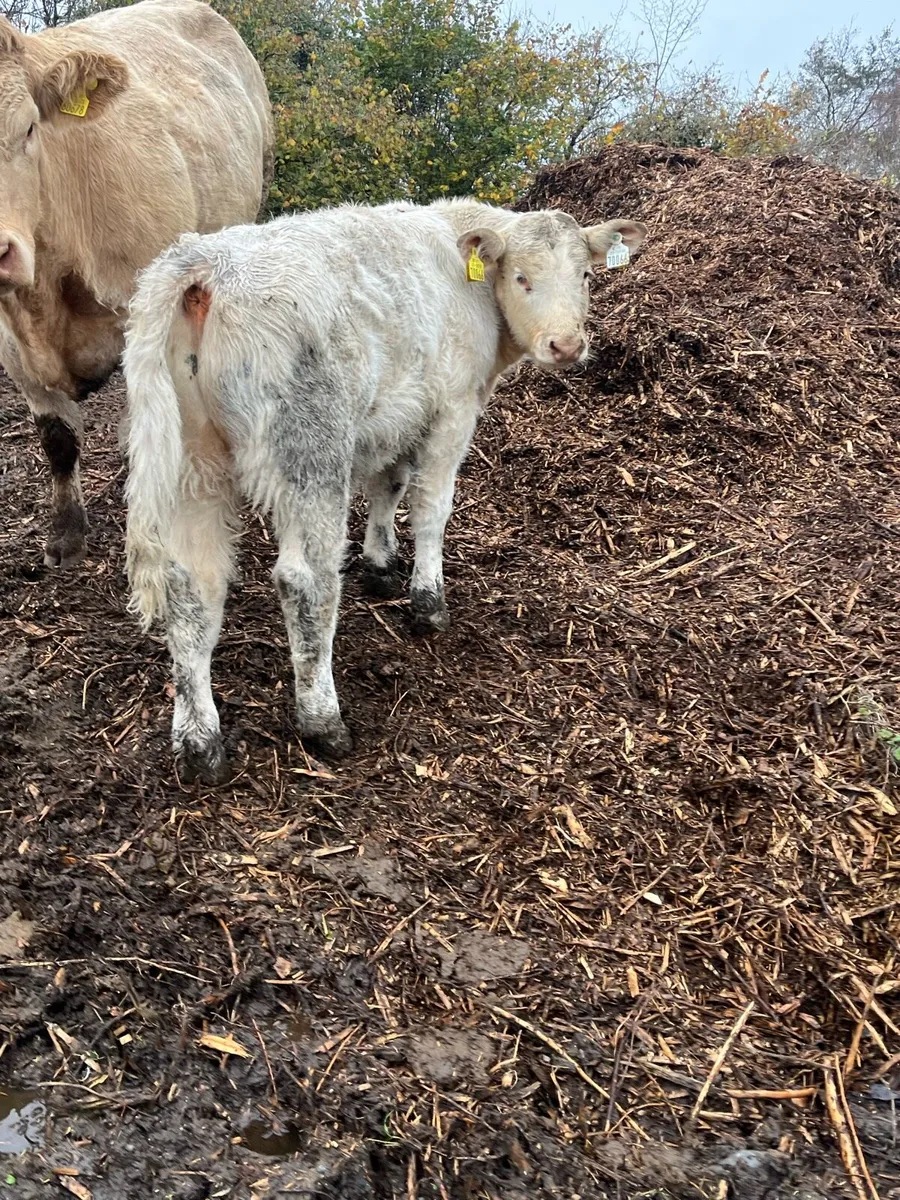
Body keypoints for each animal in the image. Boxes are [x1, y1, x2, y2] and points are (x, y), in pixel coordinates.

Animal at [123, 199, 647, 784]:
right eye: (521, 277)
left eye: (585, 275)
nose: (566, 345)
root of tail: (202, 261)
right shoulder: (452, 409)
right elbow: (431, 508)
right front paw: (427, 601)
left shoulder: (398, 418)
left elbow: (389, 487)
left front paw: (379, 563)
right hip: (312, 451)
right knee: (305, 581)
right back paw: (322, 719)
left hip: (192, 463)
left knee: (192, 589)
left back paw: (199, 742)